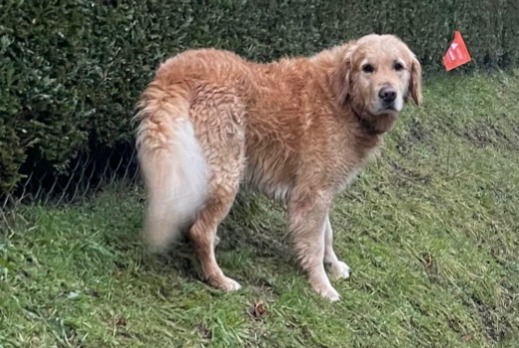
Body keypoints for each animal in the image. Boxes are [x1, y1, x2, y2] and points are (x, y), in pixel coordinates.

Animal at [135, 34, 422, 302]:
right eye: (367, 68)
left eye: (398, 66)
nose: (388, 94)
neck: (342, 97)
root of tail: (175, 73)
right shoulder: (313, 194)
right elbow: (315, 243)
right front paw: (322, 286)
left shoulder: (320, 190)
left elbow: (327, 234)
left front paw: (334, 266)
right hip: (227, 175)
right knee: (201, 231)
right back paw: (218, 279)